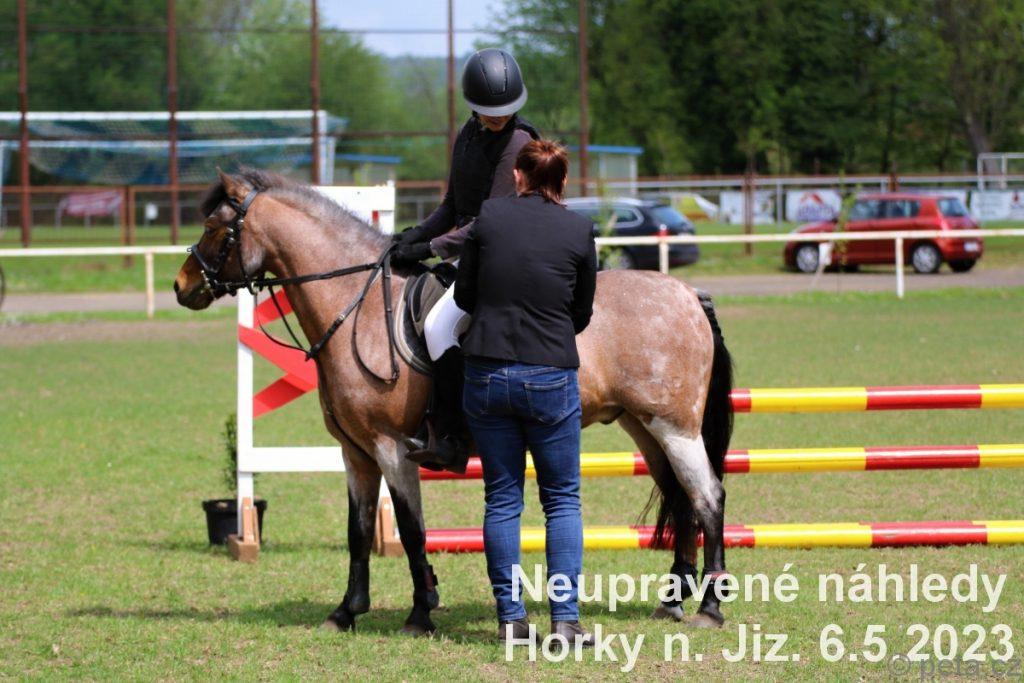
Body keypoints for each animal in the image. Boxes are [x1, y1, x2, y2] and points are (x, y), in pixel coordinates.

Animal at [174, 168, 734, 634]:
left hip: (674, 427)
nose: (182, 285)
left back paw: (708, 607)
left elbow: (410, 530)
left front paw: (421, 612)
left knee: (707, 496)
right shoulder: (355, 453)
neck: (358, 308)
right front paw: (346, 611)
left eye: (214, 226)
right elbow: (359, 532)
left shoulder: (391, 449)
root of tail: (688, 293)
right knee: (681, 497)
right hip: (645, 426)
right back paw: (672, 601)